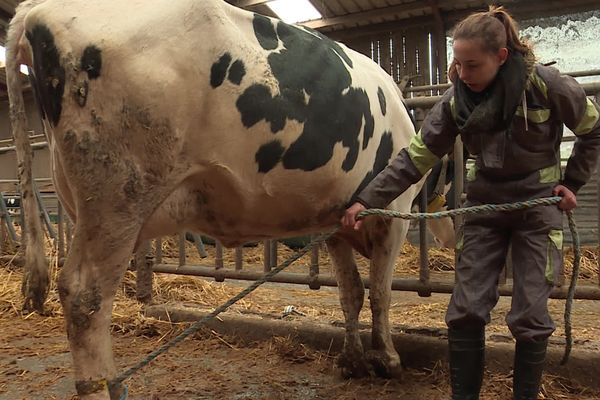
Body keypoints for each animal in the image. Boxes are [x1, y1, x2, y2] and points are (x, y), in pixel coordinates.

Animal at [5, 1, 440, 398]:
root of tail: (36, 10)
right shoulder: (394, 211)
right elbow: (381, 291)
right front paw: (388, 360)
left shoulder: (335, 220)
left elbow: (350, 292)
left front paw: (353, 361)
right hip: (118, 197)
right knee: (85, 297)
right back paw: (100, 386)